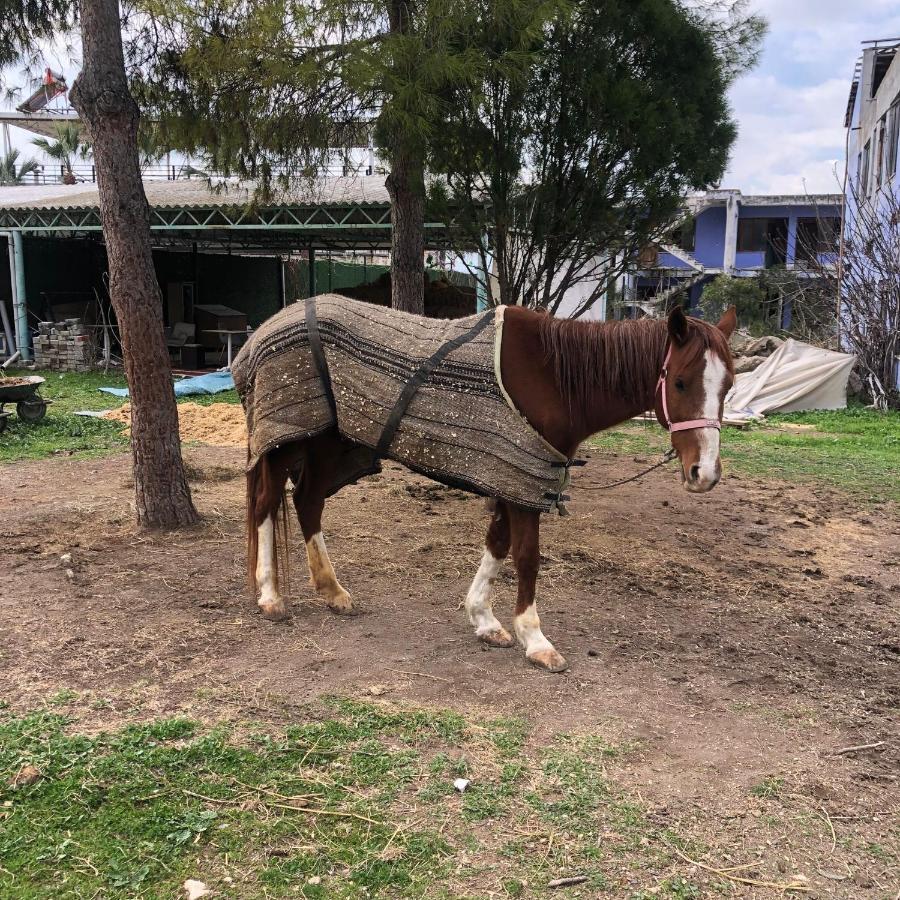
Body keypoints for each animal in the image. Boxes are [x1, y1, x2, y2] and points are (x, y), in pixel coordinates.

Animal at [243, 306, 736, 672]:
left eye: (729, 385)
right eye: (680, 382)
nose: (705, 474)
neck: (554, 379)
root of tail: (267, 327)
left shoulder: (513, 478)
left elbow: (497, 544)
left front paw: (484, 619)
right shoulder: (521, 482)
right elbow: (527, 556)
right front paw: (534, 638)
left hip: (328, 442)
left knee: (308, 502)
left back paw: (332, 591)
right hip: (287, 442)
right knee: (267, 505)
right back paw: (271, 596)